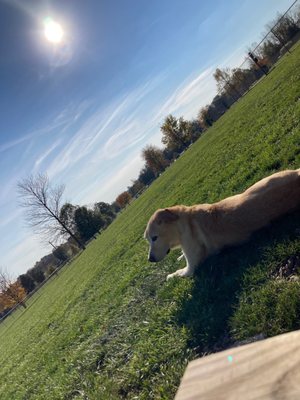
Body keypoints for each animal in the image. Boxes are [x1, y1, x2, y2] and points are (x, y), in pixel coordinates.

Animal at [144, 170, 298, 280]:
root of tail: (297, 173)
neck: (185, 222)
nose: (150, 260)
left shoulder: (190, 268)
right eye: (148, 239)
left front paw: (170, 275)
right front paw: (180, 256)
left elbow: (176, 273)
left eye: (154, 238)